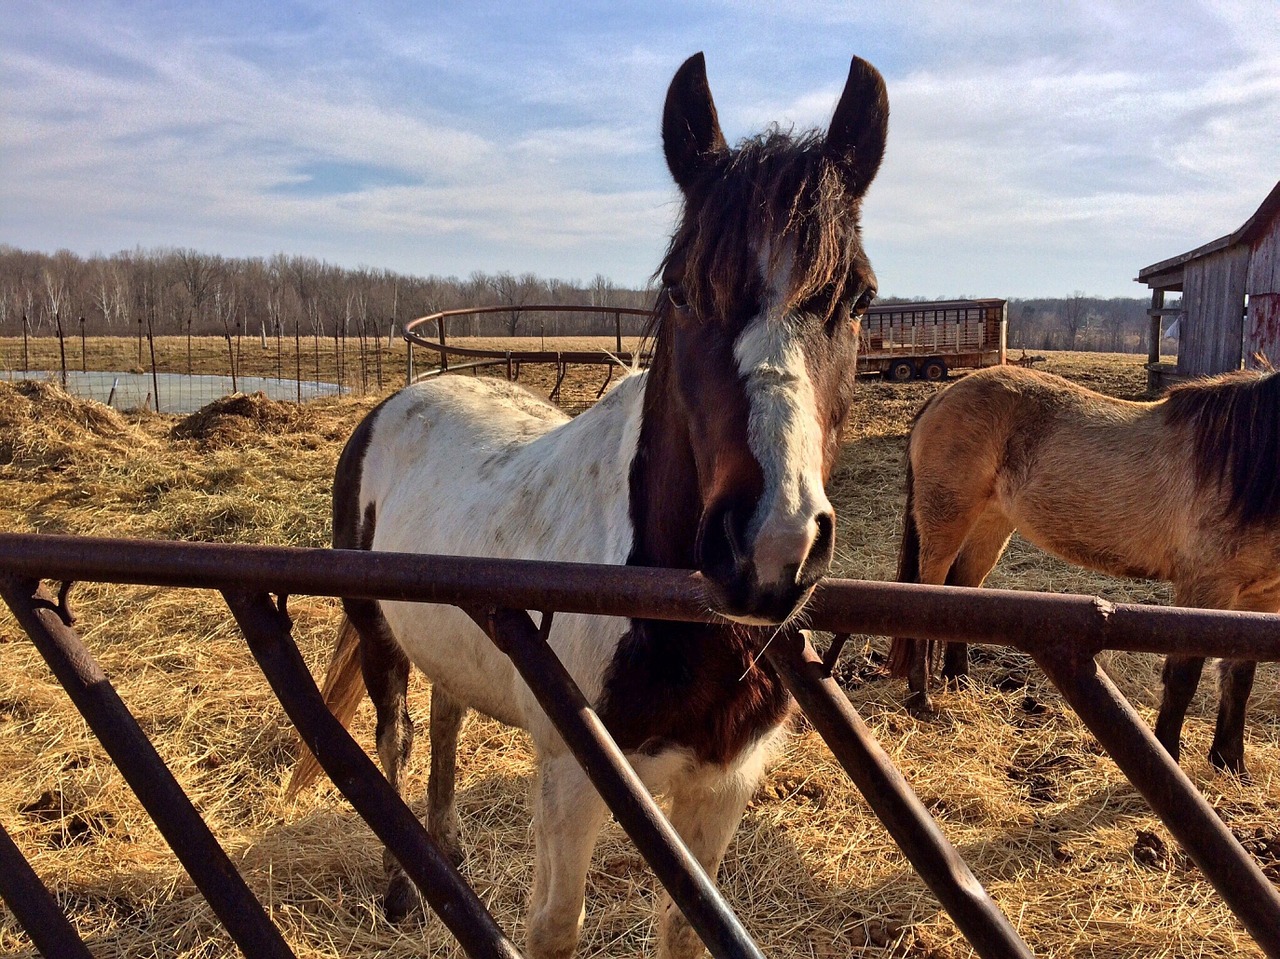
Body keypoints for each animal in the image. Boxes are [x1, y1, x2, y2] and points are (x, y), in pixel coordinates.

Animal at [288, 54, 890, 957]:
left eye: (858, 298)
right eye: (681, 289)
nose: (770, 548)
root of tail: (398, 402)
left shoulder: (720, 787)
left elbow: (686, 929)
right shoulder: (576, 783)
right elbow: (554, 929)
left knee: (445, 719)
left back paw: (447, 852)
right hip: (378, 630)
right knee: (396, 738)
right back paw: (402, 888)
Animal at [885, 363, 1280, 773]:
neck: (1242, 466)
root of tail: (943, 395)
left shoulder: (1261, 599)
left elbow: (1241, 676)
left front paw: (1231, 763)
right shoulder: (1204, 589)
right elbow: (1184, 678)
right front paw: (1168, 756)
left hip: (991, 523)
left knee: (962, 589)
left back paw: (959, 679)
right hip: (946, 521)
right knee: (925, 595)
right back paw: (921, 696)